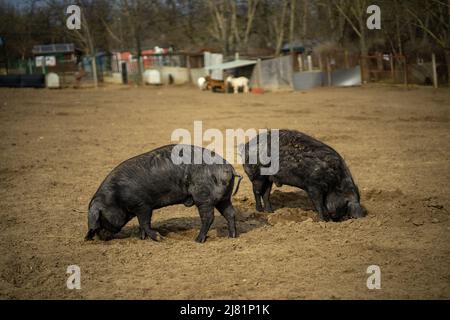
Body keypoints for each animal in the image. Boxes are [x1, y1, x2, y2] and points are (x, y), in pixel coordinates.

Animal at [85, 144, 243, 242]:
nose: (99, 237)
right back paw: (232, 236)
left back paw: (198, 240)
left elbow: (145, 223)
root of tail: (230, 168)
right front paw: (141, 238)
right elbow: (142, 225)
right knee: (230, 213)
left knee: (208, 217)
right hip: (224, 198)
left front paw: (159, 238)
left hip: (204, 197)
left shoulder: (143, 205)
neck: (116, 196)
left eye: (101, 218)